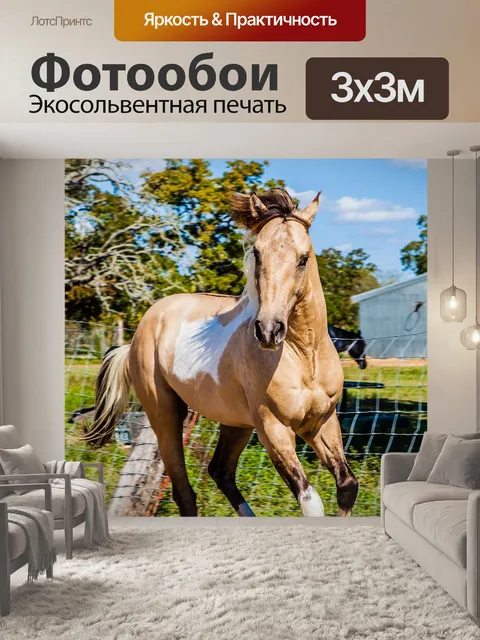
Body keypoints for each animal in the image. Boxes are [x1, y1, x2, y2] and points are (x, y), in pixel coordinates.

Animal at [84, 189, 359, 518]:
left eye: (303, 259)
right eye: (257, 254)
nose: (268, 331)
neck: (306, 358)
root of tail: (137, 336)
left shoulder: (322, 422)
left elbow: (347, 487)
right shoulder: (274, 429)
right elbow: (311, 502)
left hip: (236, 424)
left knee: (220, 471)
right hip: (165, 416)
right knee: (185, 492)